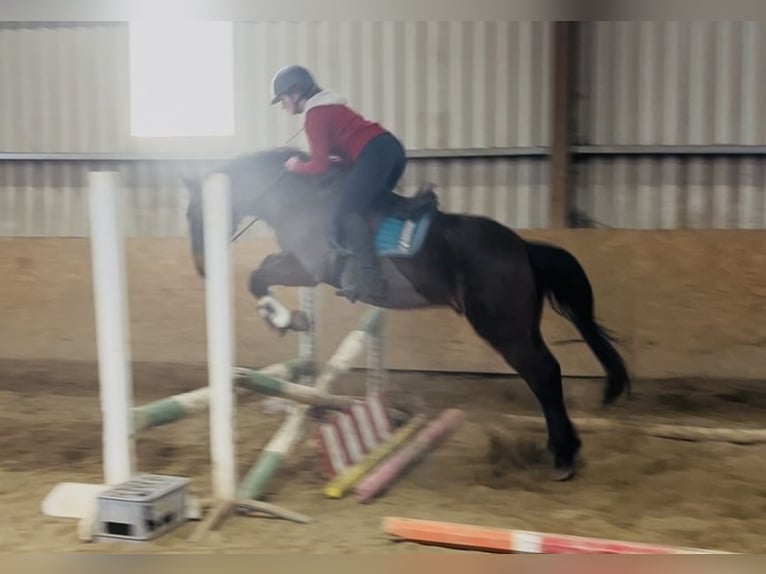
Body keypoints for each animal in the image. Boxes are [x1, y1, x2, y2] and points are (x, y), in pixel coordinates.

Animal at [181, 146, 630, 481]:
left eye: (194, 213)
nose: (203, 269)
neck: (297, 196)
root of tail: (523, 248)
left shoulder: (308, 267)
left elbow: (258, 275)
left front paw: (282, 319)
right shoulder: (303, 266)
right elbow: (262, 274)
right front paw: (291, 321)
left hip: (504, 329)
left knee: (543, 374)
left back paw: (563, 455)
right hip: (521, 326)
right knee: (547, 372)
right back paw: (565, 449)